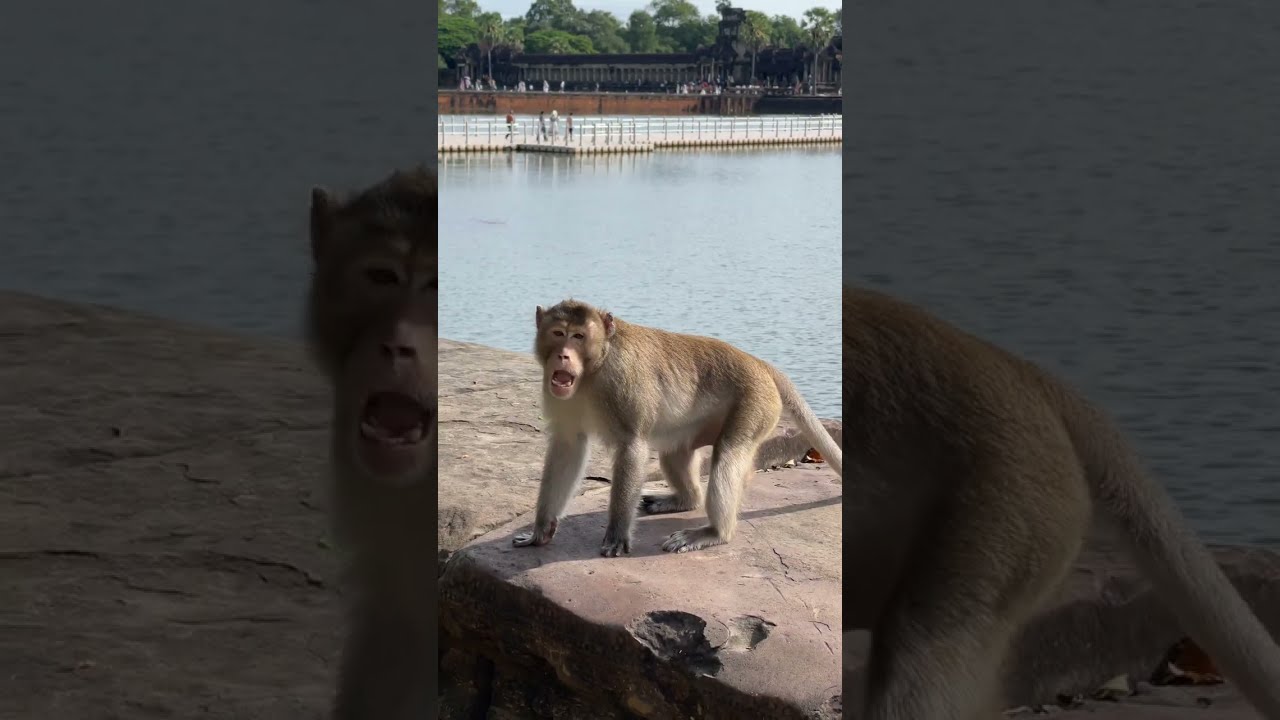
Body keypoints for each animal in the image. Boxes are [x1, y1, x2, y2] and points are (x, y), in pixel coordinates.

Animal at [512, 299, 843, 557]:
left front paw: (616, 534)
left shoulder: (623, 382)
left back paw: (714, 533)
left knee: (728, 457)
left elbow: (632, 447)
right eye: (558, 334)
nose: (563, 355)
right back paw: (685, 500)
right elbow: (568, 446)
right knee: (673, 455)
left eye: (579, 336)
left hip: (755, 403)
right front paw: (540, 531)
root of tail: (758, 363)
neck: (593, 370)